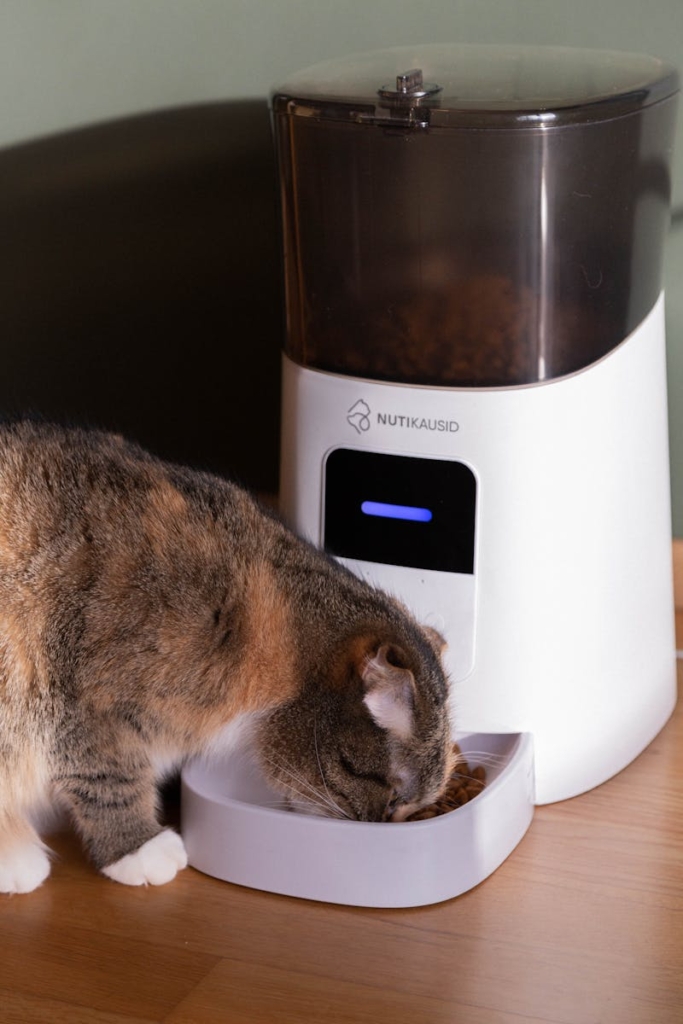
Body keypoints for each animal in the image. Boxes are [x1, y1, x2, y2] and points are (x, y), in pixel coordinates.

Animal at [0, 419, 456, 892]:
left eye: (410, 809)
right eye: (392, 798)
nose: (378, 832)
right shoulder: (88, 699)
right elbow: (109, 776)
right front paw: (137, 847)